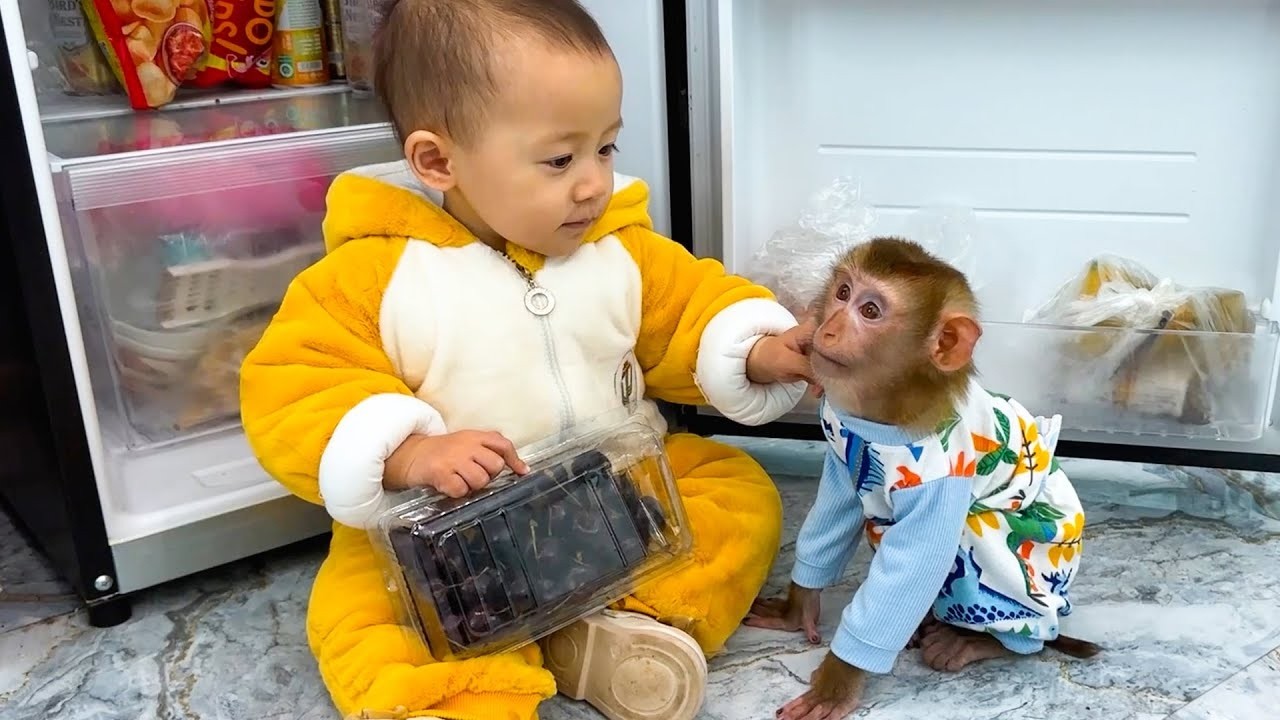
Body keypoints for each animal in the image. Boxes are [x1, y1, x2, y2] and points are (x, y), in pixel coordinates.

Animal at [745, 237, 1100, 720]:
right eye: (842, 293)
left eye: (870, 311)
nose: (828, 330)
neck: (888, 413)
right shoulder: (841, 446)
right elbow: (834, 515)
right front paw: (797, 609)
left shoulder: (942, 479)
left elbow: (914, 565)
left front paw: (837, 682)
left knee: (978, 538)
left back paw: (983, 641)